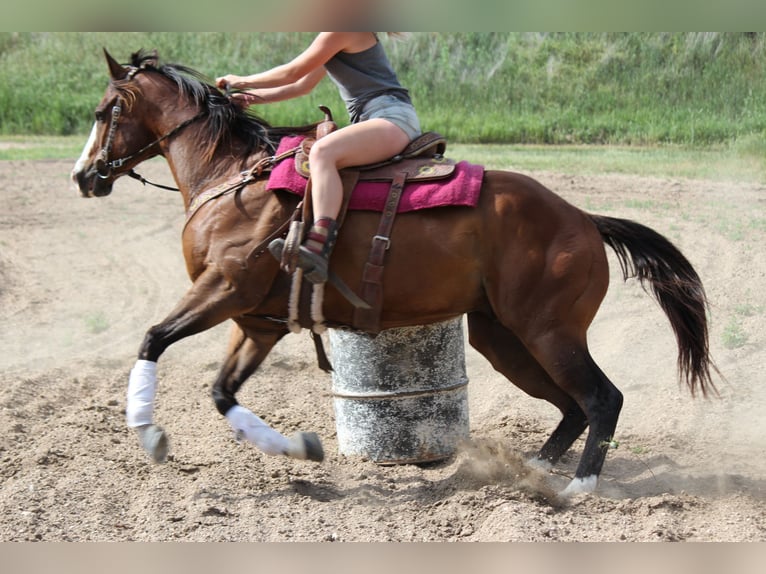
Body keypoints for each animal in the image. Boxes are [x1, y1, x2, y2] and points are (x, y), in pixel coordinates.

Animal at [71, 49, 717, 496]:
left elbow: (152, 339)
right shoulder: (256, 322)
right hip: (502, 337)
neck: (232, 178)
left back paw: (579, 487)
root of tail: (583, 217)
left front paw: (149, 433)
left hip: (548, 332)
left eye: (106, 111)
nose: (83, 176)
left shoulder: (223, 290)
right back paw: (534, 468)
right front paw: (301, 449)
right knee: (572, 406)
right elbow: (221, 391)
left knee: (602, 397)